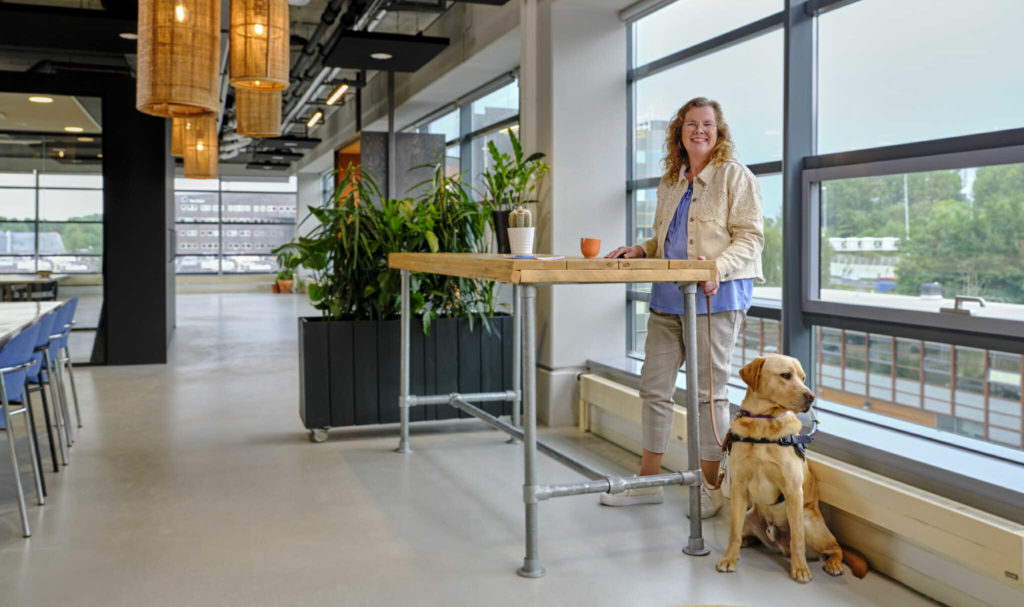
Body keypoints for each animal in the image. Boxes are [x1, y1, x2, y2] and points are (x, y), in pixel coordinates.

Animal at [716, 354, 868, 581]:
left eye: (803, 378)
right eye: (786, 375)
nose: (811, 396)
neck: (764, 424)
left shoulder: (793, 491)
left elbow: (797, 539)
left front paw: (800, 569)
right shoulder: (739, 488)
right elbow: (733, 531)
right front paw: (729, 558)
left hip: (808, 521)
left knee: (835, 548)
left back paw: (833, 563)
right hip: (750, 514)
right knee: (746, 532)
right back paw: (747, 540)